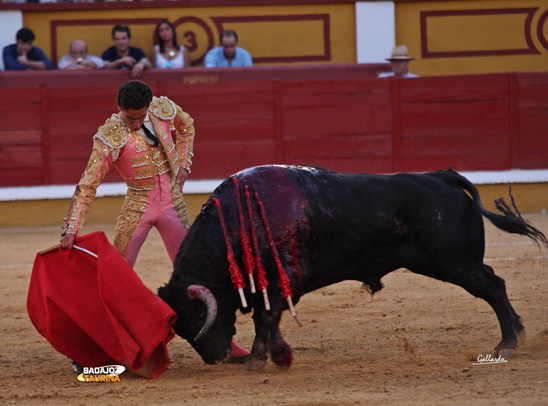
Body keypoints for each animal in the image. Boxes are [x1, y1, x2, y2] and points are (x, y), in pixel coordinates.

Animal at [157, 165, 544, 372]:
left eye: (198, 318)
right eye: (182, 328)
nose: (217, 359)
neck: (237, 221)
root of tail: (441, 177)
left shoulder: (284, 279)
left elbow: (267, 317)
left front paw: (261, 358)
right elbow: (264, 317)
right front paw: (266, 355)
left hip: (455, 263)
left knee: (493, 287)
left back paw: (507, 343)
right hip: (452, 263)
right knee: (496, 283)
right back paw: (519, 331)